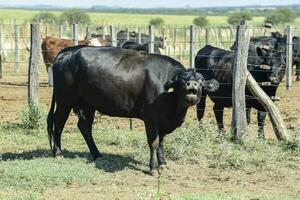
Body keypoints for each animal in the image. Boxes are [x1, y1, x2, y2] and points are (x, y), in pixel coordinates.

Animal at [47, 45, 218, 173]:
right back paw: (58, 153)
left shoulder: (163, 121)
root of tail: (68, 51)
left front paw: (163, 163)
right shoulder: (151, 117)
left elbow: (162, 142)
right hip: (65, 100)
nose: (191, 84)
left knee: (84, 126)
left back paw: (97, 154)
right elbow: (154, 142)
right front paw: (153, 167)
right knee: (58, 123)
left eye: (200, 81)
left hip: (87, 104)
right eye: (183, 80)